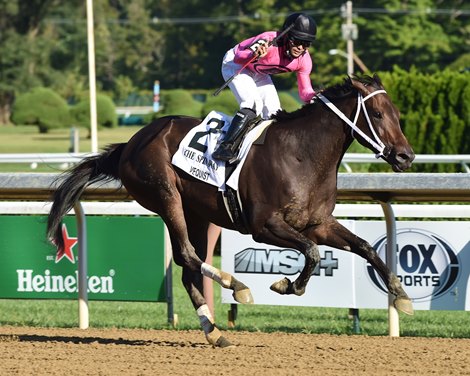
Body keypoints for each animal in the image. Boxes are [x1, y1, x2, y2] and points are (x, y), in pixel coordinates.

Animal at [46, 75, 414, 348]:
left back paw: (214, 332)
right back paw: (235, 285)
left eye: (396, 113)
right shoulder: (264, 226)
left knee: (187, 268)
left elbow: (363, 247)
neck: (302, 155)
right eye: (377, 114)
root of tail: (130, 143)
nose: (406, 156)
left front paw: (401, 295)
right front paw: (287, 285)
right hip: (166, 197)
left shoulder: (318, 223)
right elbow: (311, 252)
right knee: (188, 255)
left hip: (196, 212)